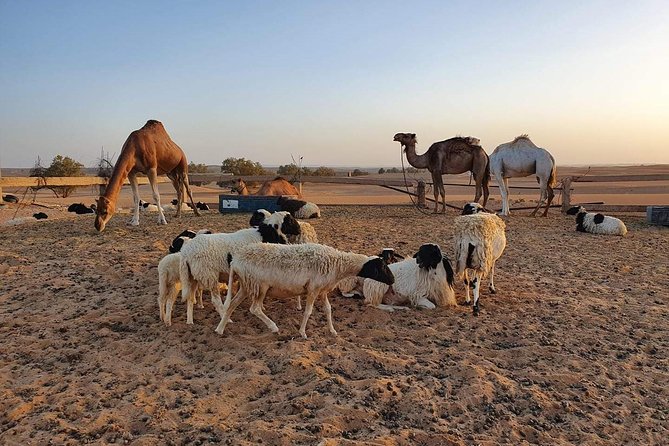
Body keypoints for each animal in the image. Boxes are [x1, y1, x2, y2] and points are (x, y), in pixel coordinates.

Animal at [214, 244, 394, 338]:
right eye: (382, 267)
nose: (392, 280)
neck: (338, 264)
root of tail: (235, 261)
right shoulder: (313, 289)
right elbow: (308, 311)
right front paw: (302, 332)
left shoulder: (322, 291)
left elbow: (328, 310)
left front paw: (332, 331)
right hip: (260, 286)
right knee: (255, 308)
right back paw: (273, 327)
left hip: (247, 285)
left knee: (231, 305)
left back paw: (220, 329)